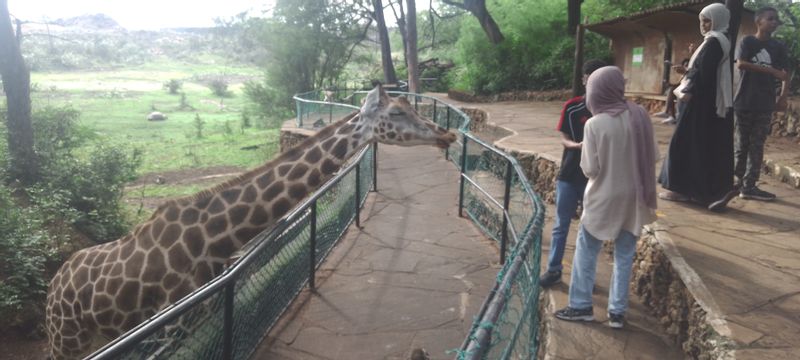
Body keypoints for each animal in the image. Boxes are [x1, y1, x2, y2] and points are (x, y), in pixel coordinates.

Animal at [45, 85, 456, 360]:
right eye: (397, 114)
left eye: (408, 106)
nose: (448, 133)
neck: (213, 241)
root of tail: (53, 284)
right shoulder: (171, 329)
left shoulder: (202, 318)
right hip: (65, 338)